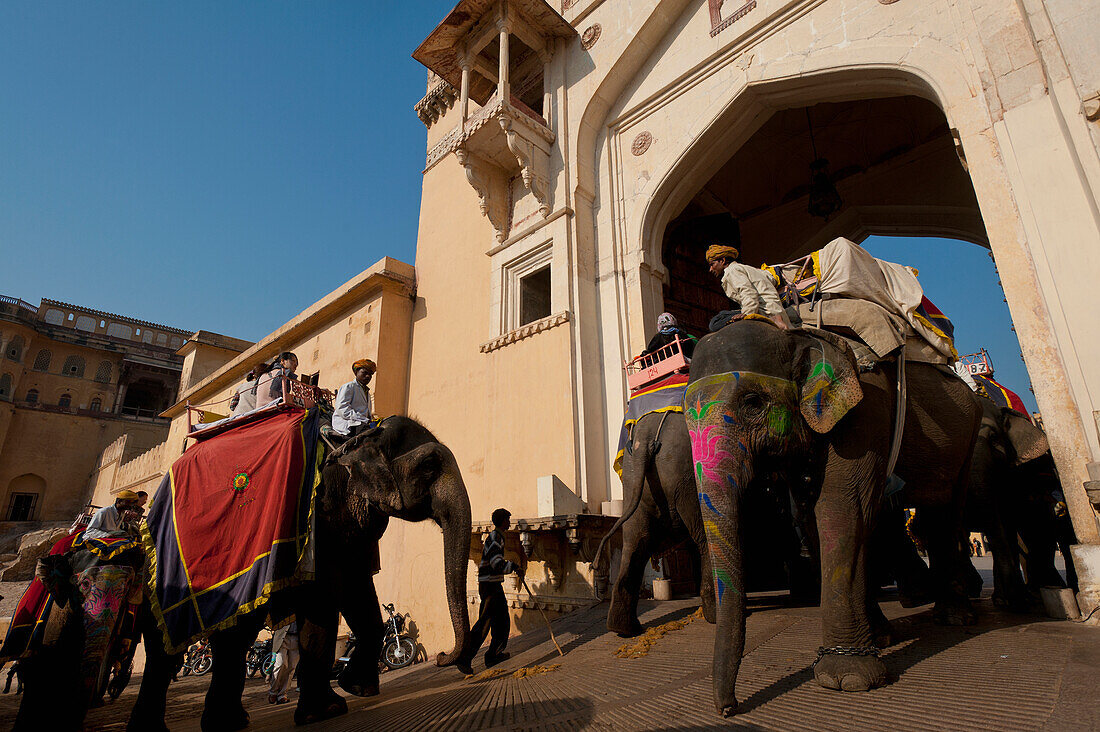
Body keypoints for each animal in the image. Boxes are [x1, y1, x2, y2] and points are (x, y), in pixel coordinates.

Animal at [128, 416, 473, 730]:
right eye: (429, 465)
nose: (445, 658)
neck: (358, 437)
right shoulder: (322, 516)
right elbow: (322, 600)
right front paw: (326, 712)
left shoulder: (352, 530)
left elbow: (360, 595)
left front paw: (355, 687)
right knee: (171, 647)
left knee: (233, 638)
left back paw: (227, 723)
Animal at [686, 319, 981, 713]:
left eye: (753, 403)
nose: (728, 707)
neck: (797, 335)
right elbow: (813, 516)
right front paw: (877, 643)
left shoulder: (865, 413)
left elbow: (841, 506)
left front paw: (847, 680)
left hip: (968, 435)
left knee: (944, 512)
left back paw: (954, 617)